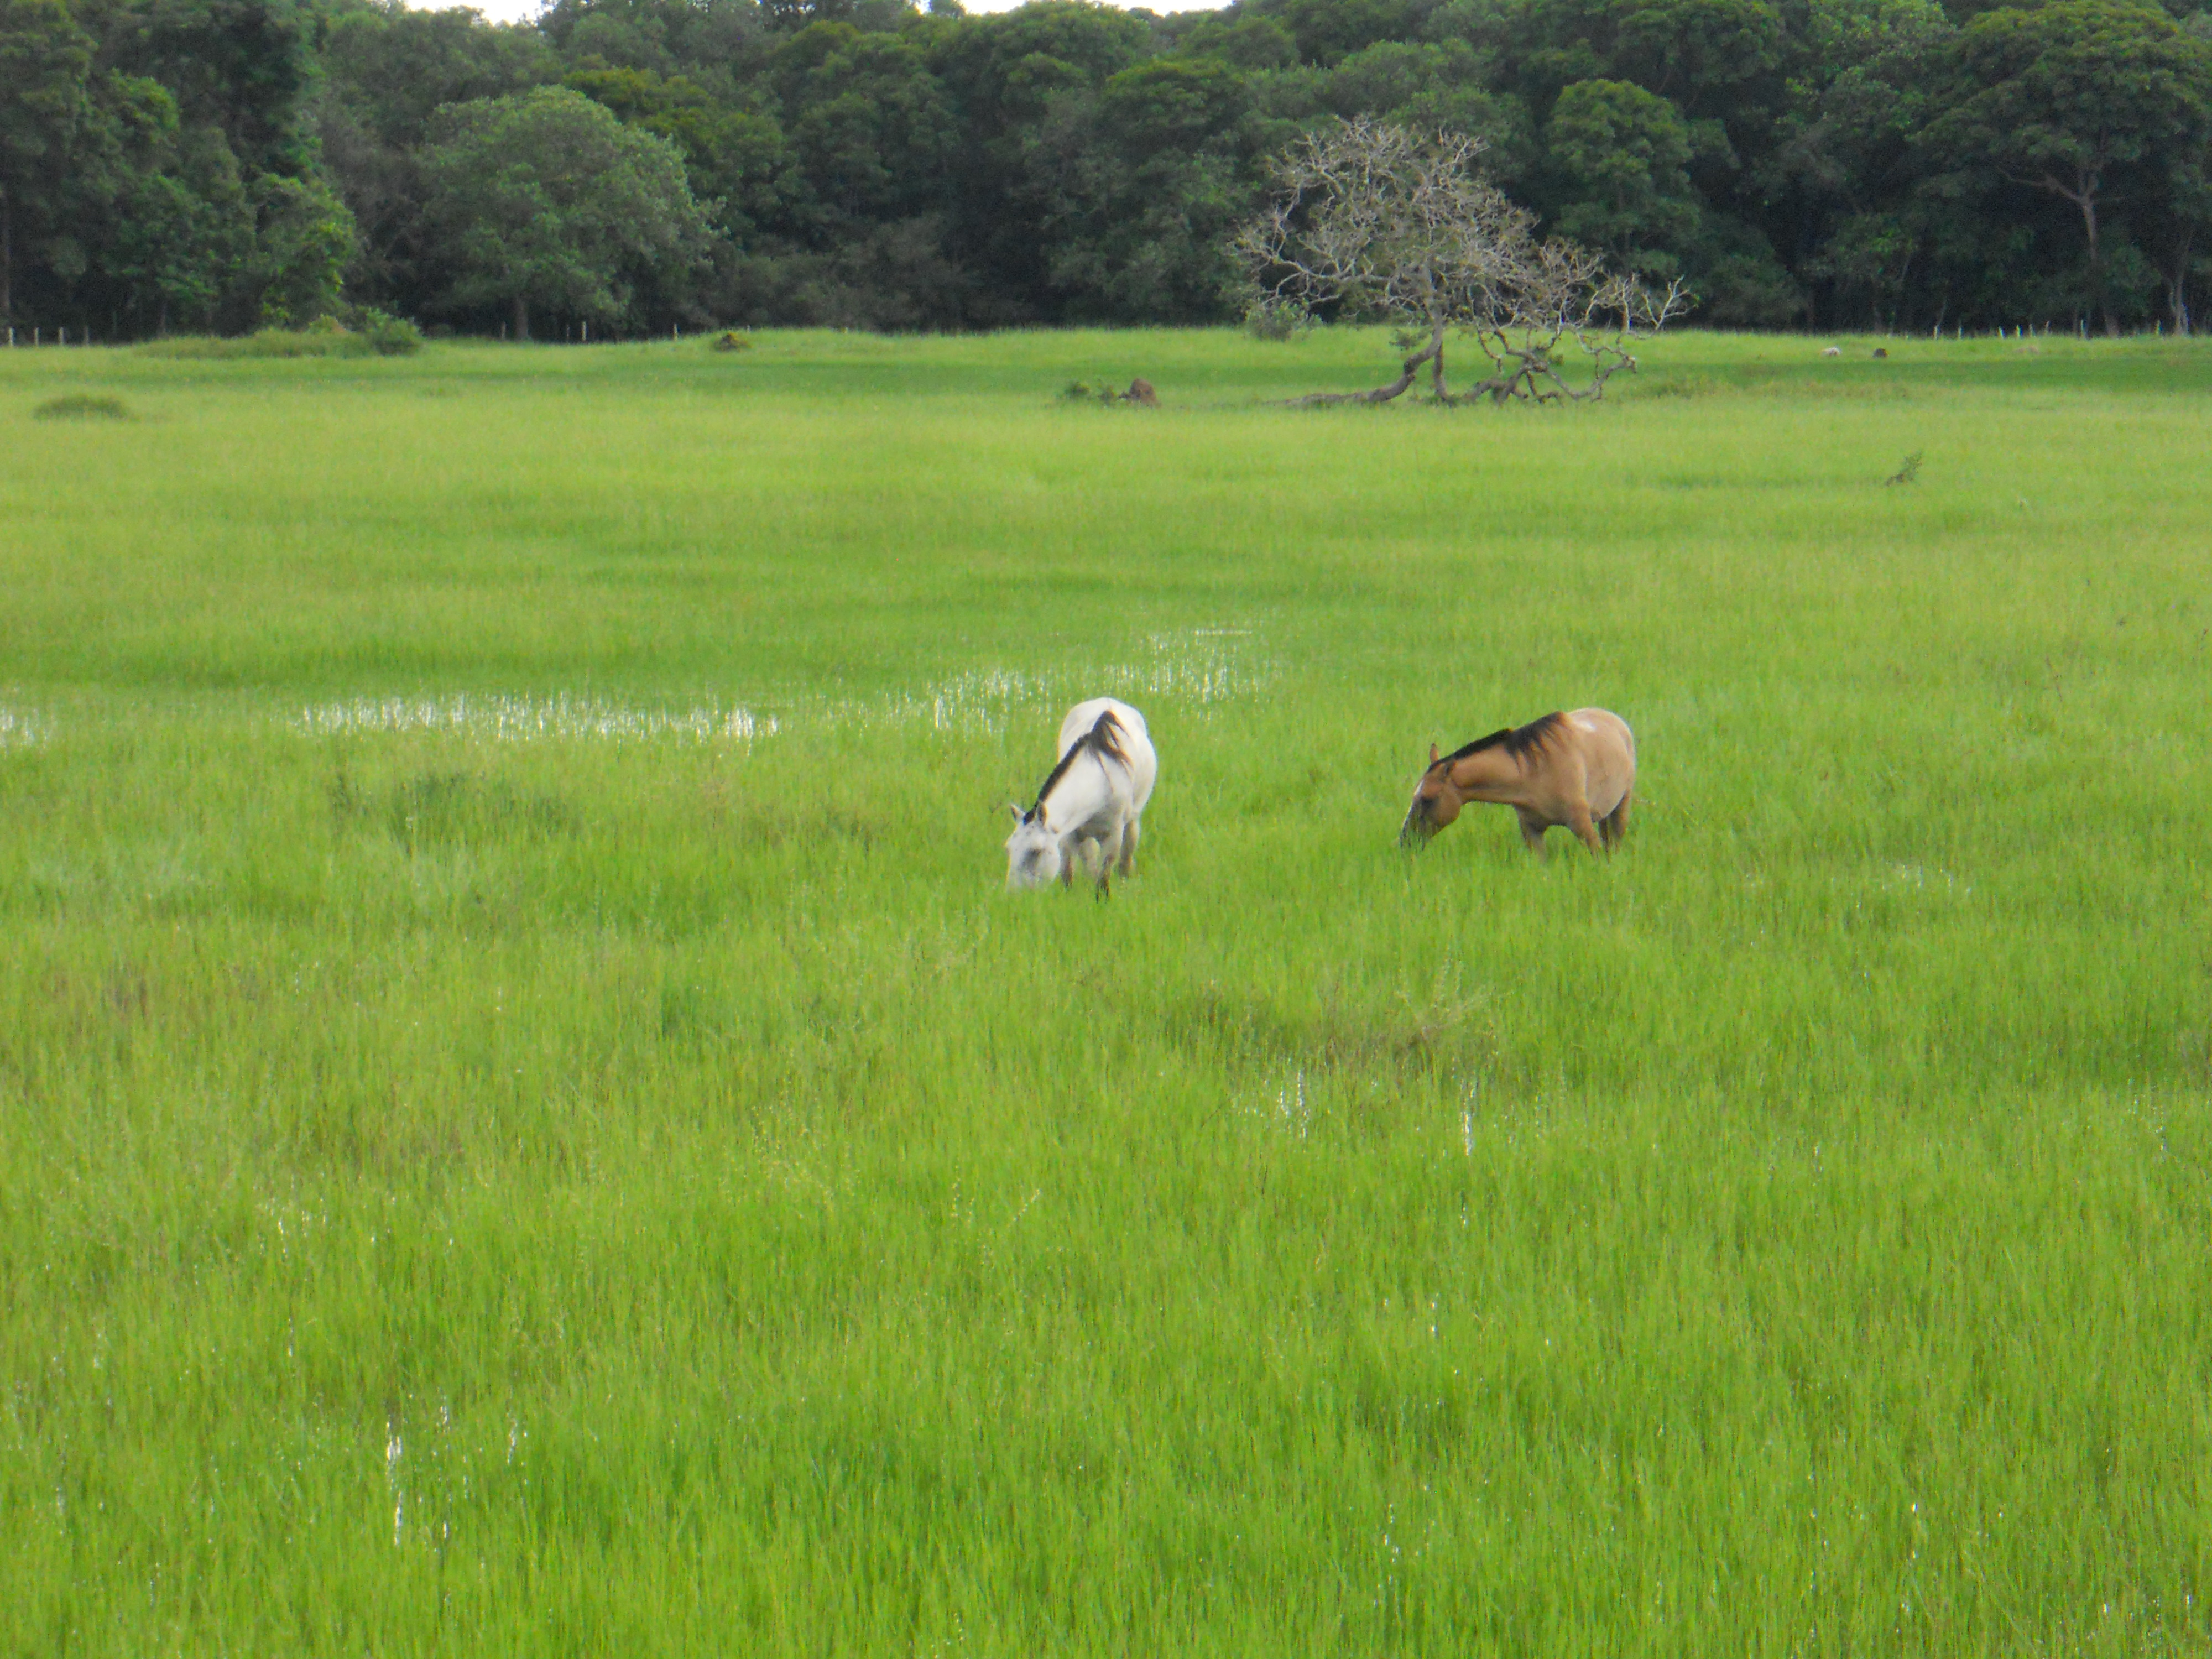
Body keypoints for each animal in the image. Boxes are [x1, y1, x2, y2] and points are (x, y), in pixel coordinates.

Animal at [1005, 698, 1158, 893]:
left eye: (1036, 851)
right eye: (1009, 849)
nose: (1014, 894)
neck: (1099, 784)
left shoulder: (1113, 836)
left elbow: (1103, 880)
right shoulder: (1069, 834)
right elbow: (1071, 872)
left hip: (1132, 821)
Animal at [1399, 709, 1634, 857]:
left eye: (1427, 799)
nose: (1405, 840)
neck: (1533, 774)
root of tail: (1615, 720)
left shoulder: (1582, 825)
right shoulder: (1532, 832)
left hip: (1621, 808)